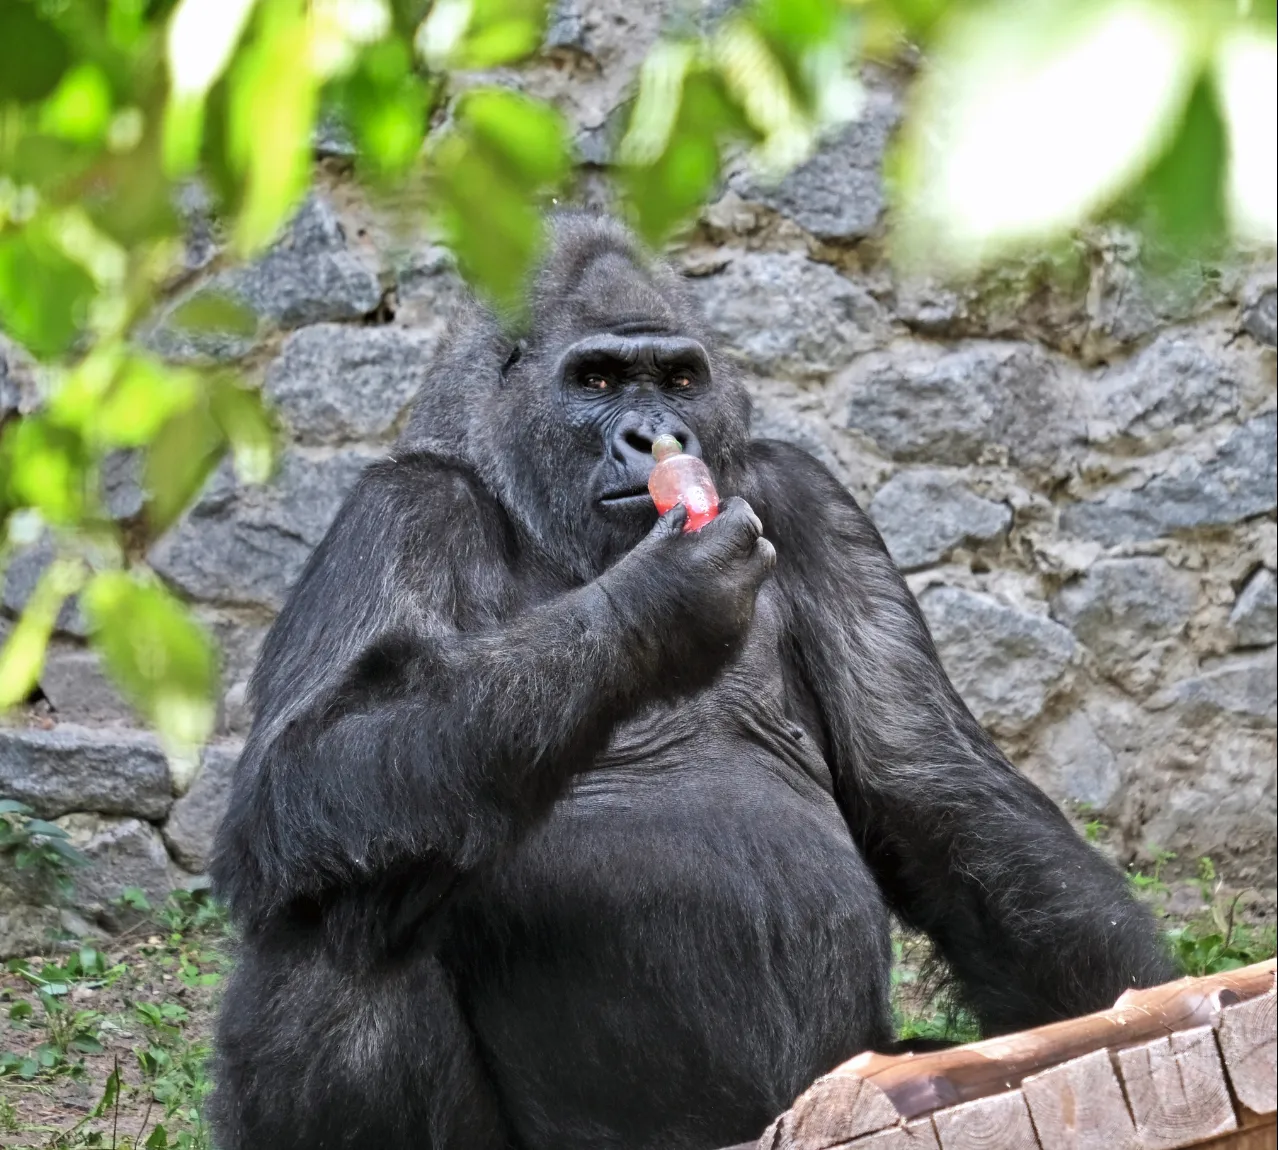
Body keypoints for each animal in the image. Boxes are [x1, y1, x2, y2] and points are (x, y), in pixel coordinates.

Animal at [209, 215, 1175, 1150]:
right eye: (597, 379)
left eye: (677, 379)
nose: (651, 438)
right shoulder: (398, 509)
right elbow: (303, 764)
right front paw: (656, 605)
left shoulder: (811, 497)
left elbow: (932, 784)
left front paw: (1139, 1009)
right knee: (335, 910)